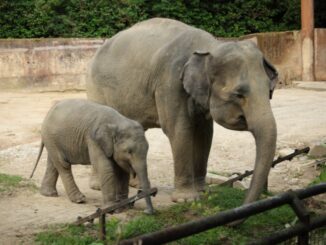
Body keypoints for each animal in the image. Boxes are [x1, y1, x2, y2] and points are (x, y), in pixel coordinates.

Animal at [86, 17, 278, 205]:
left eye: (270, 90)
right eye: (238, 94)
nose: (244, 203)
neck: (210, 47)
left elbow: (204, 133)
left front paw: (202, 192)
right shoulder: (169, 82)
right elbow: (179, 130)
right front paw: (186, 199)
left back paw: (137, 185)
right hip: (96, 87)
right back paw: (97, 186)